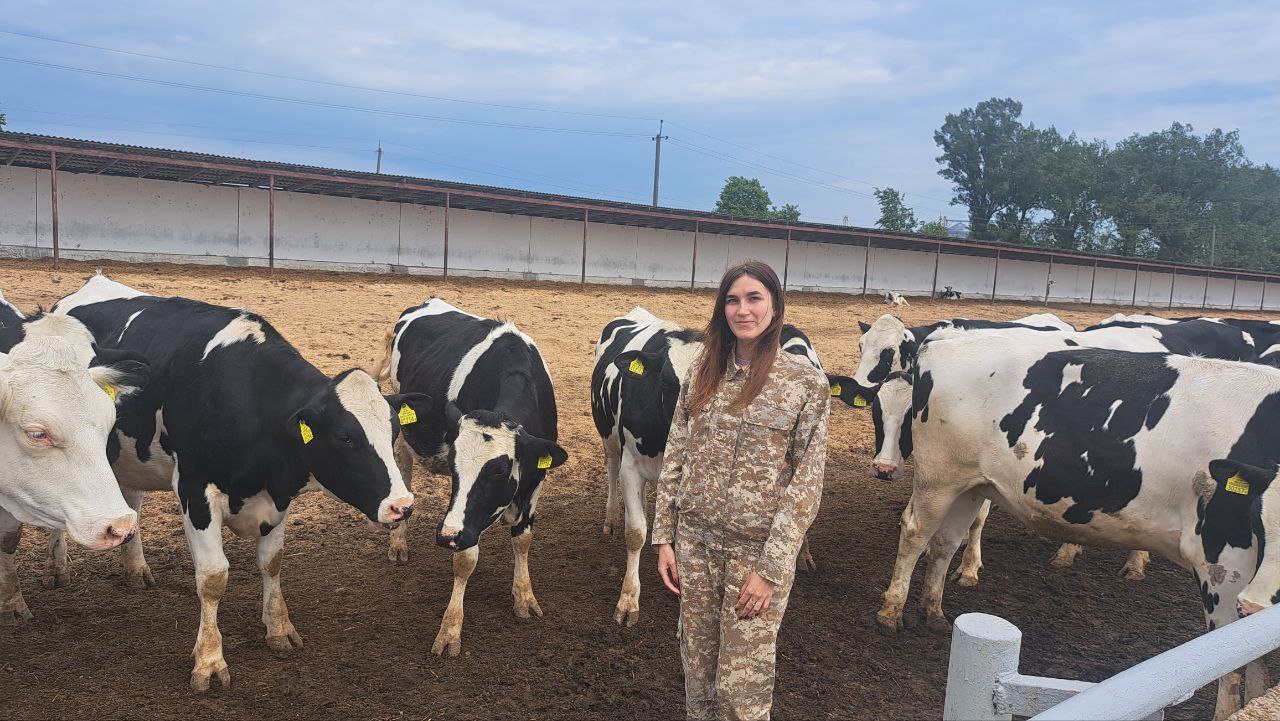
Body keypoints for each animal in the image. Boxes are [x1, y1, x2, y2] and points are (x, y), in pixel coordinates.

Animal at [51, 272, 424, 691]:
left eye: (394, 430)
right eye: (345, 437)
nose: (402, 505)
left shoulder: (279, 496)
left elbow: (272, 563)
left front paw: (279, 629)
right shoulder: (195, 490)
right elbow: (213, 577)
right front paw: (210, 660)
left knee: (130, 501)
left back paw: (135, 569)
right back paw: (60, 568)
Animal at [373, 295, 568, 655]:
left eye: (499, 470)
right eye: (454, 467)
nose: (445, 536)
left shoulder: (536, 476)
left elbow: (523, 540)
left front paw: (524, 597)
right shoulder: (461, 518)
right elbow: (465, 559)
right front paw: (450, 629)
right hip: (403, 427)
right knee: (403, 470)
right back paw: (398, 541)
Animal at [880, 330, 1280, 717]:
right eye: (1257, 520)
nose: (1256, 607)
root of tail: (949, 339)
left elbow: (1260, 663)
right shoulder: (1222, 565)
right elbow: (1234, 661)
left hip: (971, 485)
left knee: (945, 543)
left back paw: (933, 611)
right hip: (939, 478)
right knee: (916, 532)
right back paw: (891, 612)